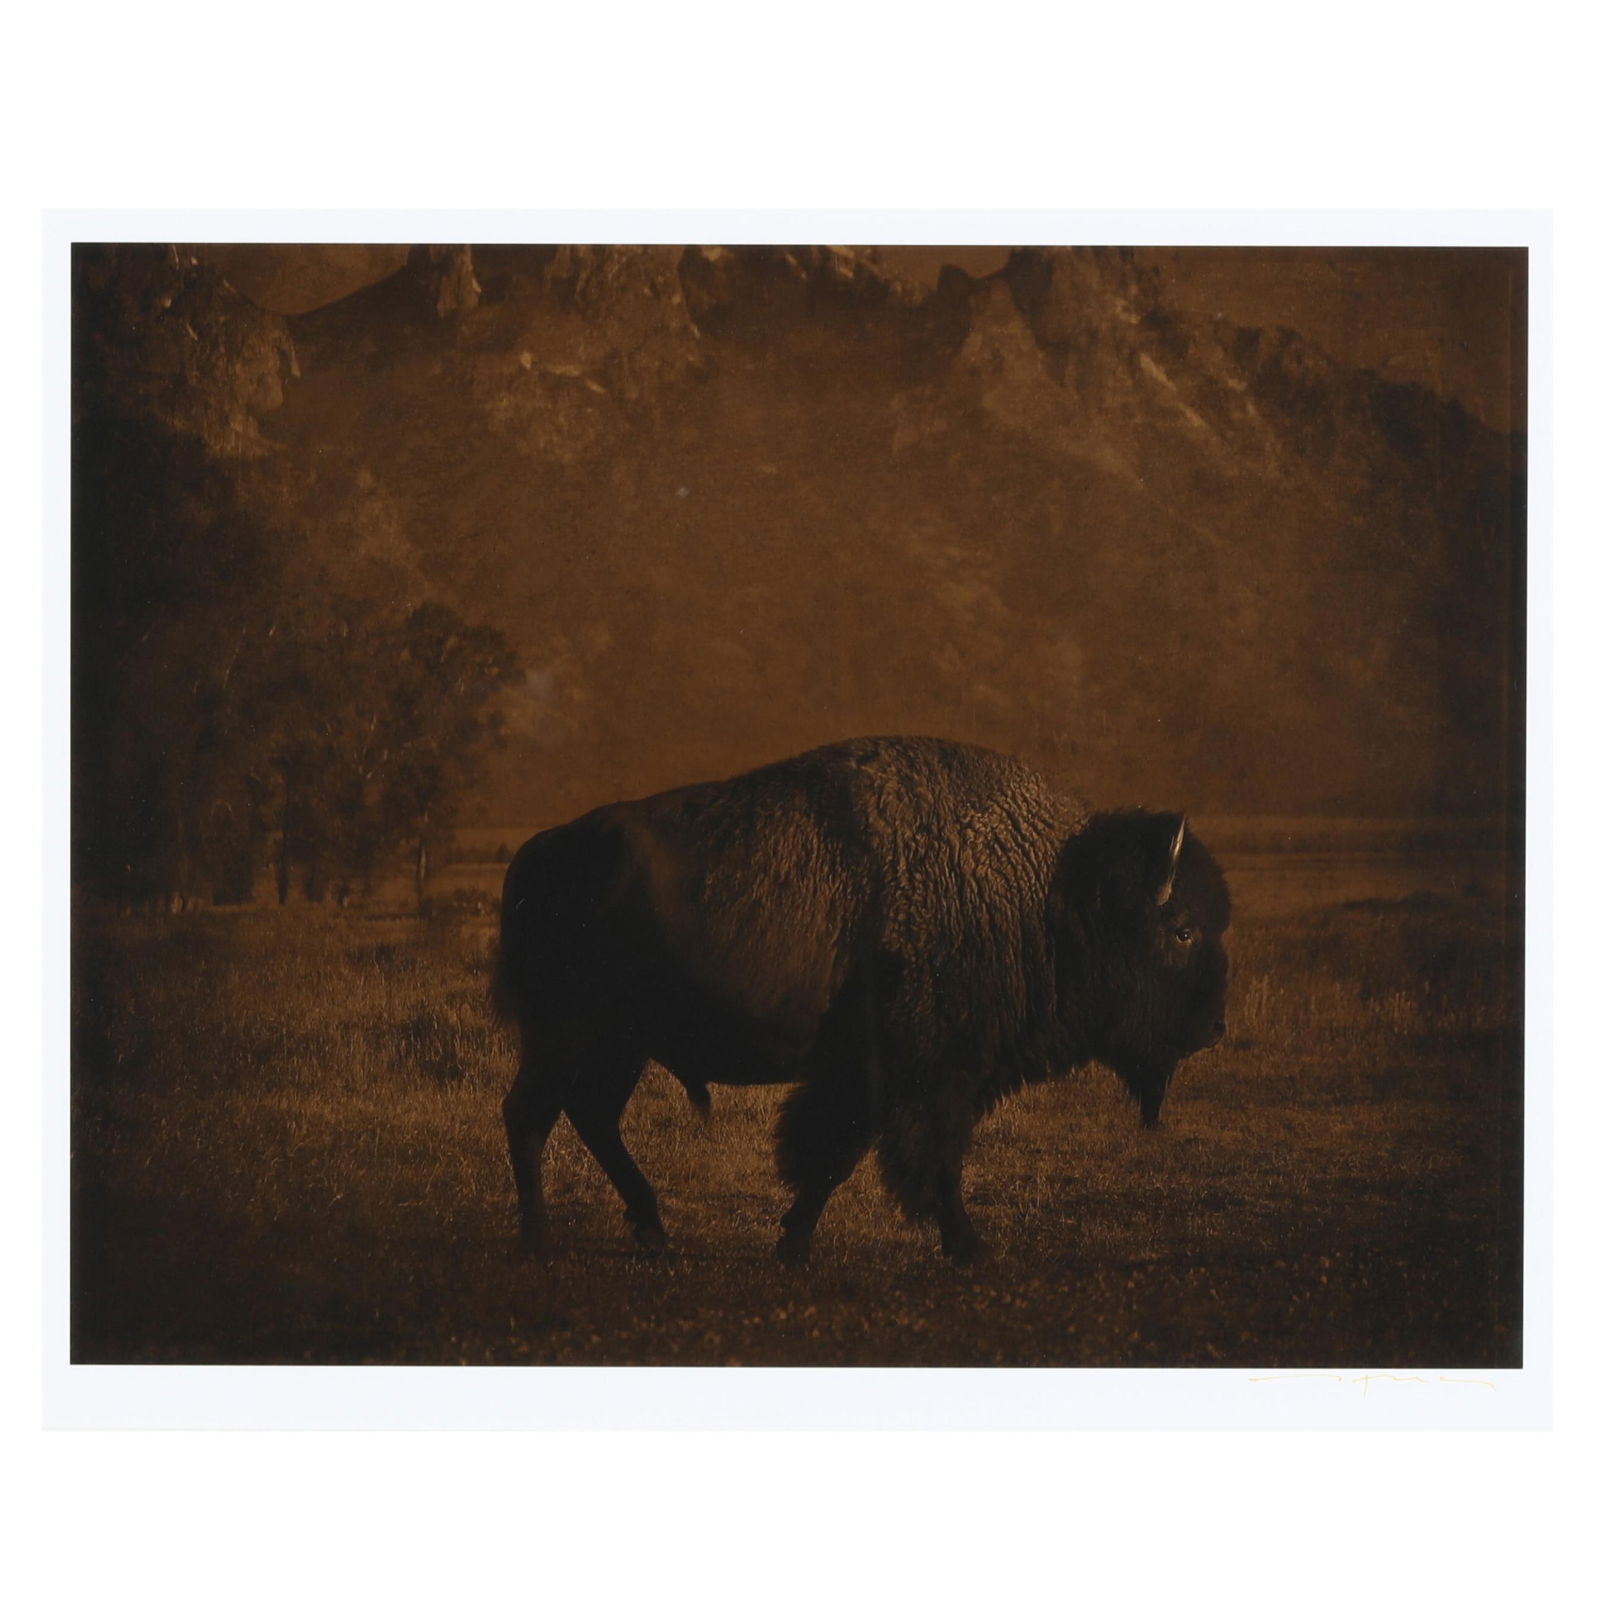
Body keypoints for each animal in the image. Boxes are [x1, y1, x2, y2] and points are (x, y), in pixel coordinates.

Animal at [492, 735, 1231, 1265]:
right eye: (1183, 929)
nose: (1215, 1027)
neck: (1048, 892)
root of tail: (542, 851)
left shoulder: (874, 1077)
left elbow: (835, 1159)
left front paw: (792, 1242)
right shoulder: (929, 1075)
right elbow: (920, 1161)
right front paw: (971, 1249)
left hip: (618, 1045)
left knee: (588, 1116)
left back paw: (649, 1228)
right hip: (572, 1036)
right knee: (531, 1117)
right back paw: (540, 1242)